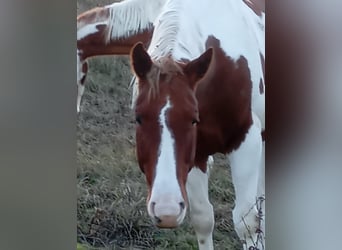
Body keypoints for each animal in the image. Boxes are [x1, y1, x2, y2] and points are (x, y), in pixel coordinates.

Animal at [130, 0, 266, 250]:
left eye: (193, 119)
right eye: (138, 117)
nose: (166, 210)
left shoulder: (246, 140)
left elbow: (247, 221)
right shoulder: (196, 154)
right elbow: (203, 218)